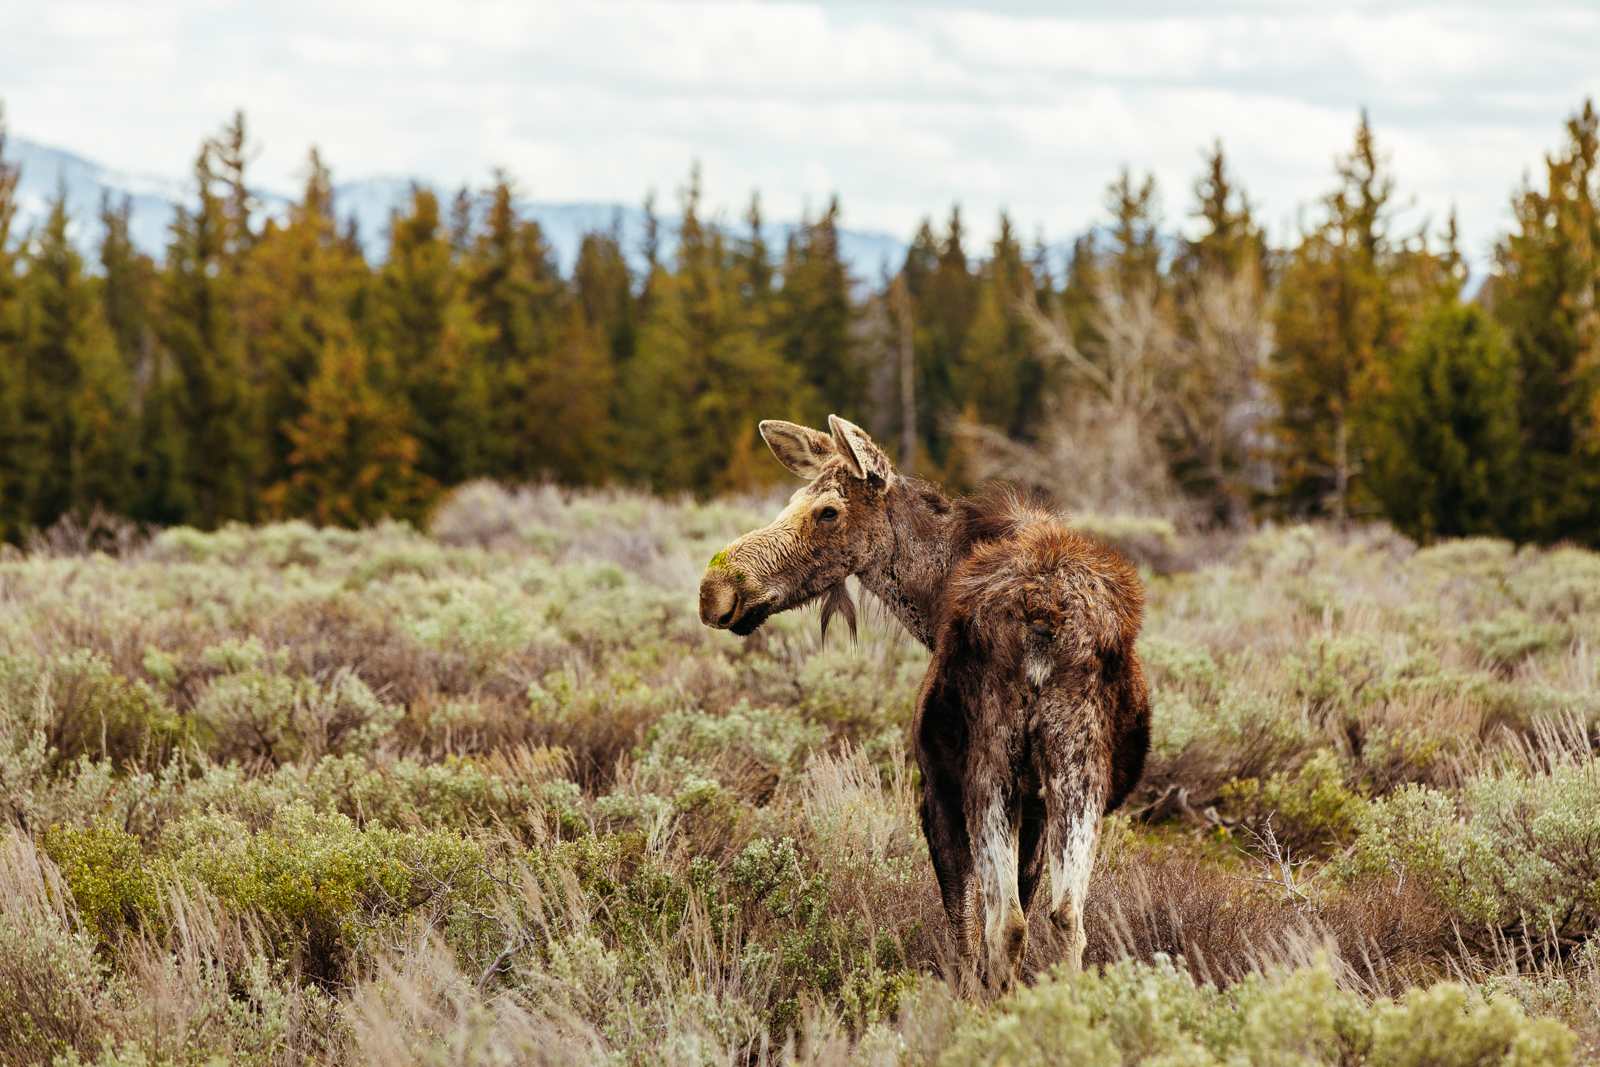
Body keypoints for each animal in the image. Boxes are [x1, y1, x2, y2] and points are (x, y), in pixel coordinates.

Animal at [698, 416, 1150, 996]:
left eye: (828, 511)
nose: (715, 589)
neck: (932, 603)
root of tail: (1044, 620)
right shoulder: (1036, 802)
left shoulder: (936, 789)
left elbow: (964, 928)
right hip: (1076, 764)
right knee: (1065, 916)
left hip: (989, 767)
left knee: (1006, 923)